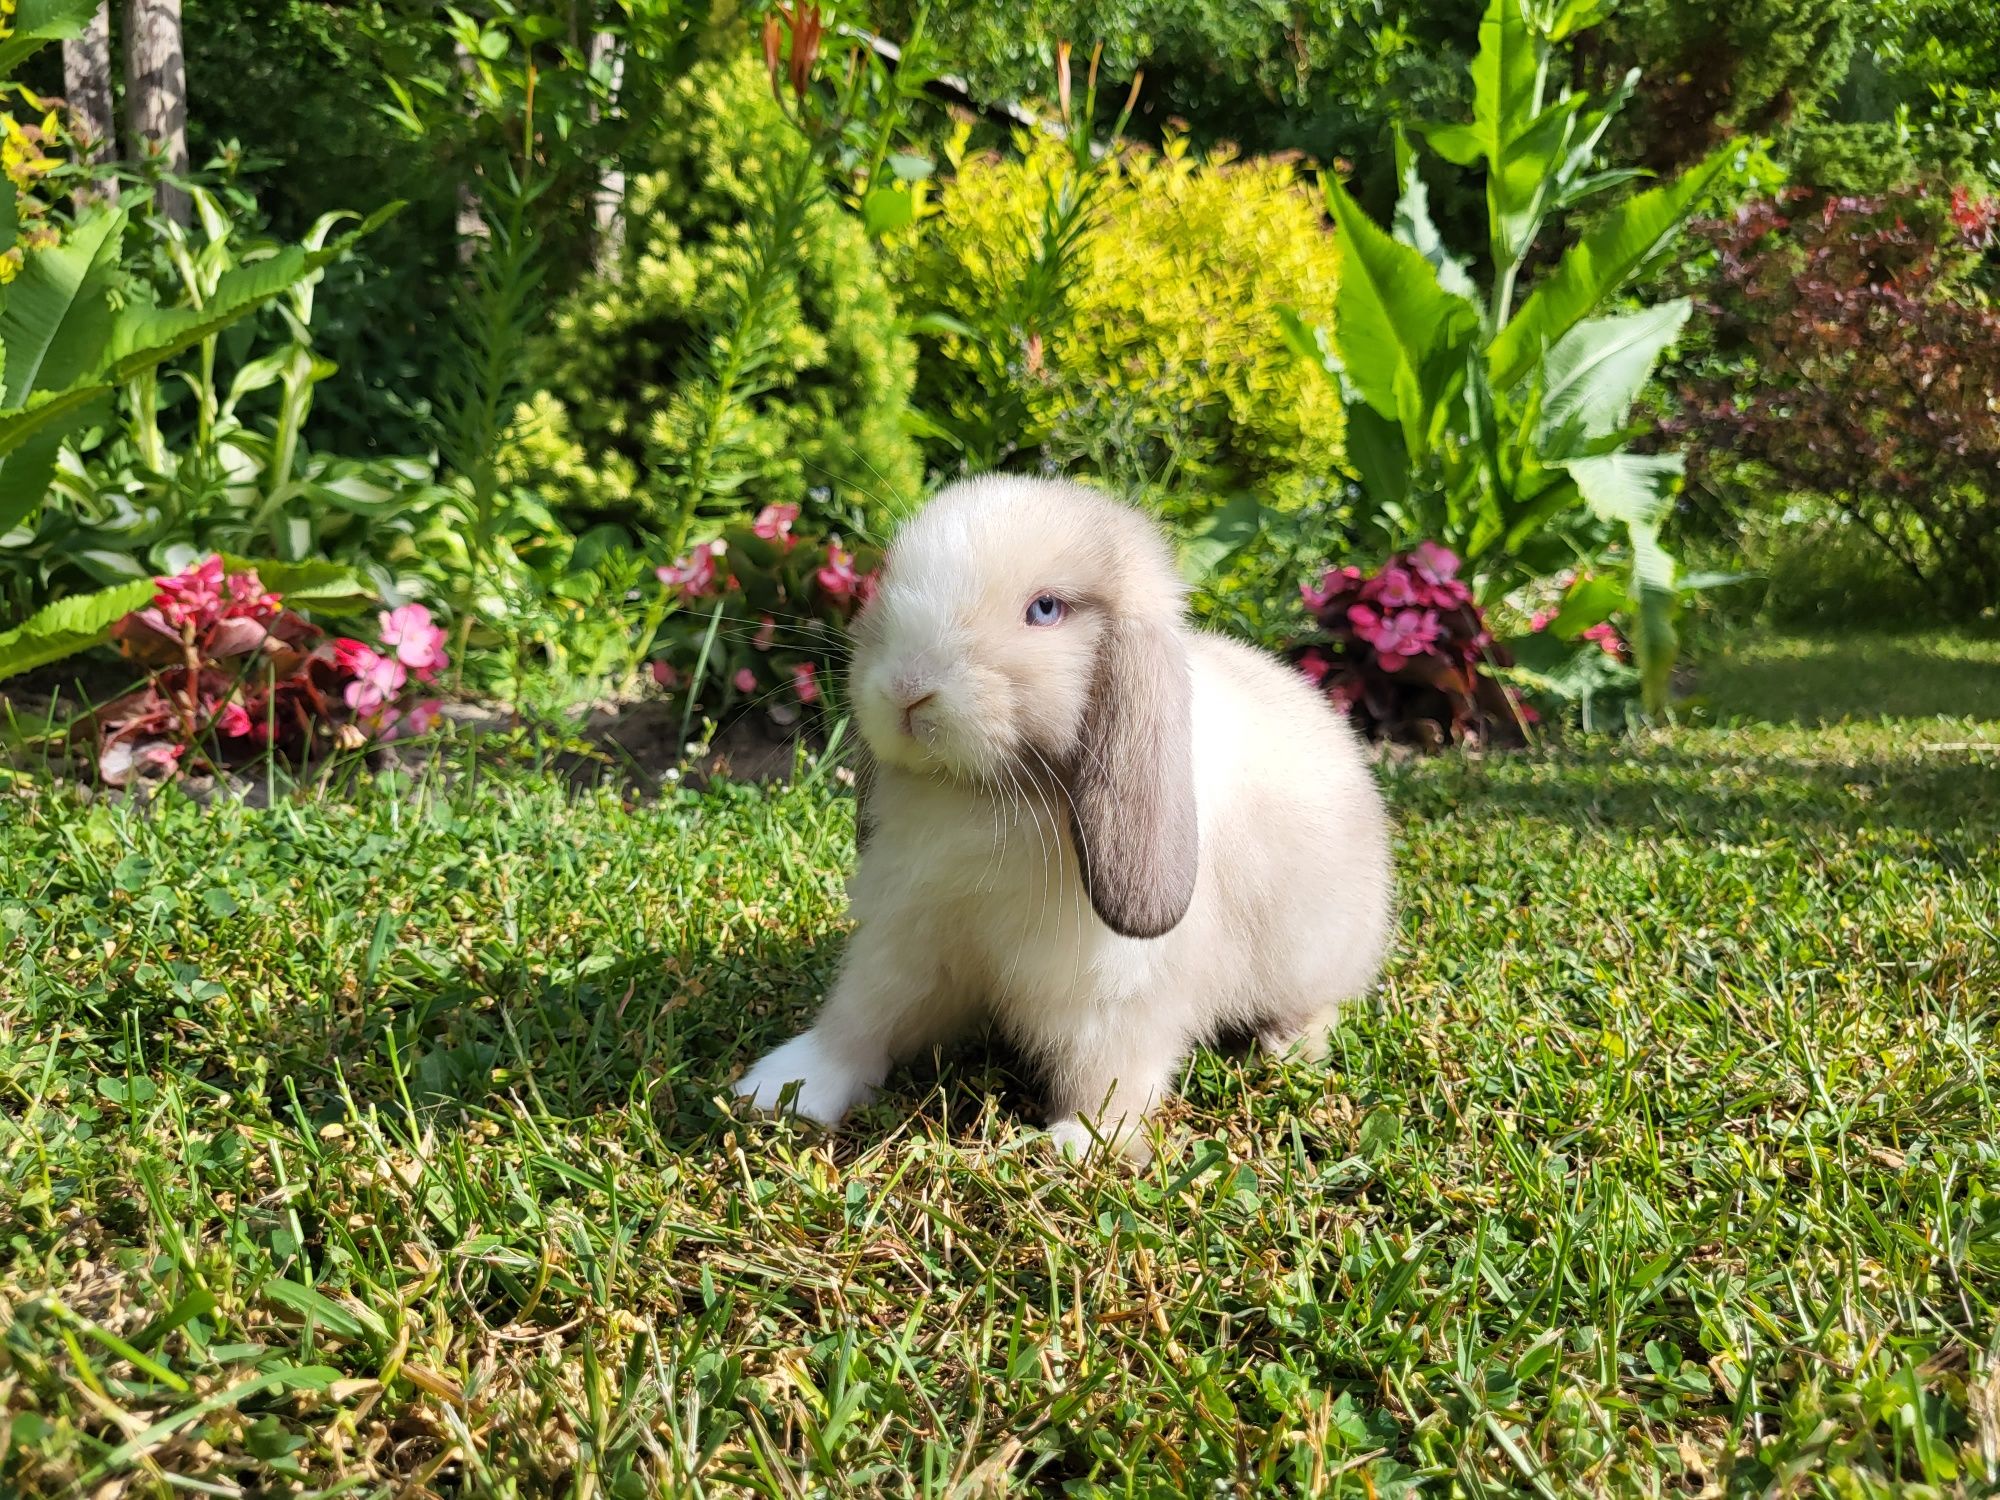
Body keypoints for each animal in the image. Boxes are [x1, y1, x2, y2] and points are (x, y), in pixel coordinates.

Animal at [732, 478, 1392, 1160]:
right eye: (889, 580)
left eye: (1045, 610)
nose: (908, 687)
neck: (988, 795)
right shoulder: (908, 942)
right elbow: (861, 1018)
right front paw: (786, 1090)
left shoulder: (1114, 997)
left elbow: (1107, 1071)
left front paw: (1083, 1143)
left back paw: (1288, 1046)